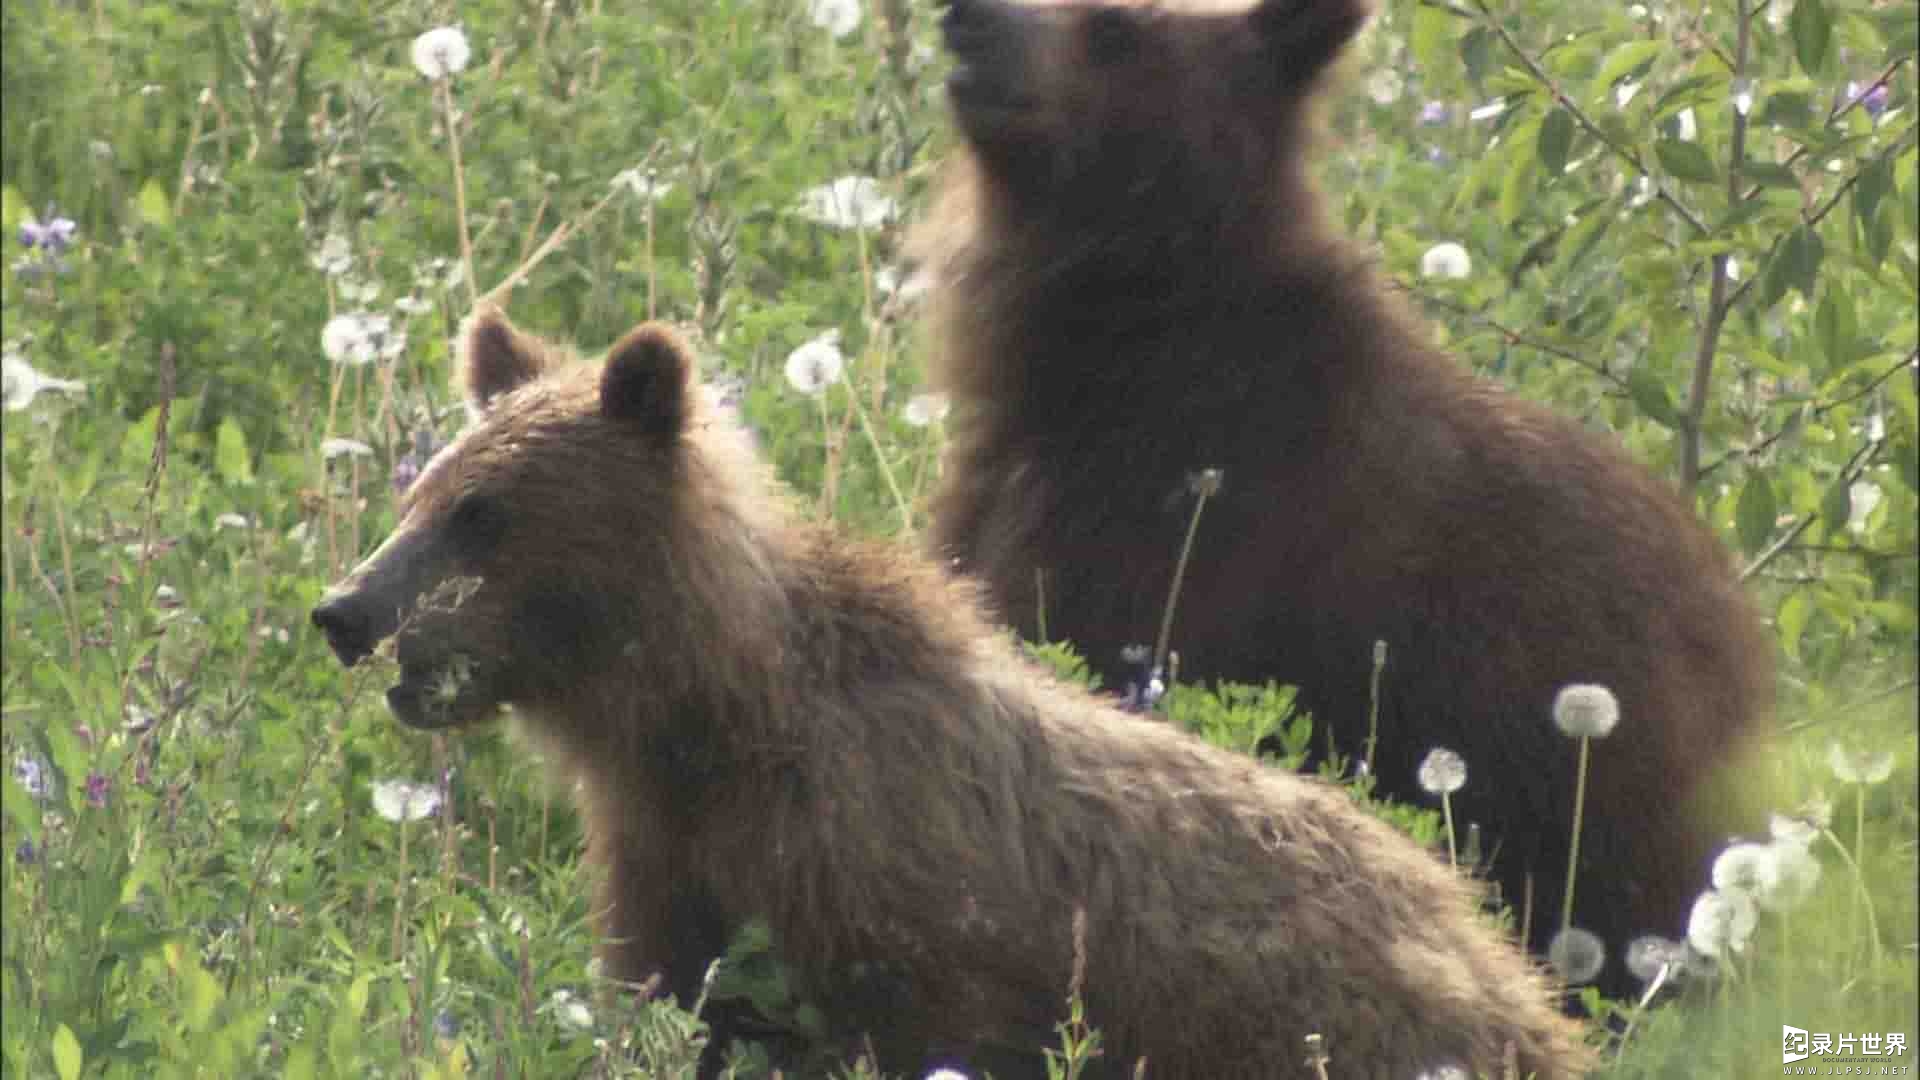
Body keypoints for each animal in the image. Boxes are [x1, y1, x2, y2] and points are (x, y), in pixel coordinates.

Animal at [314, 309, 1589, 1076]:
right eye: (421, 492)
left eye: (483, 513)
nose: (346, 610)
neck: (703, 726)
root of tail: (1513, 971)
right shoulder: (671, 865)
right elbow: (679, 1005)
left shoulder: (905, 893)